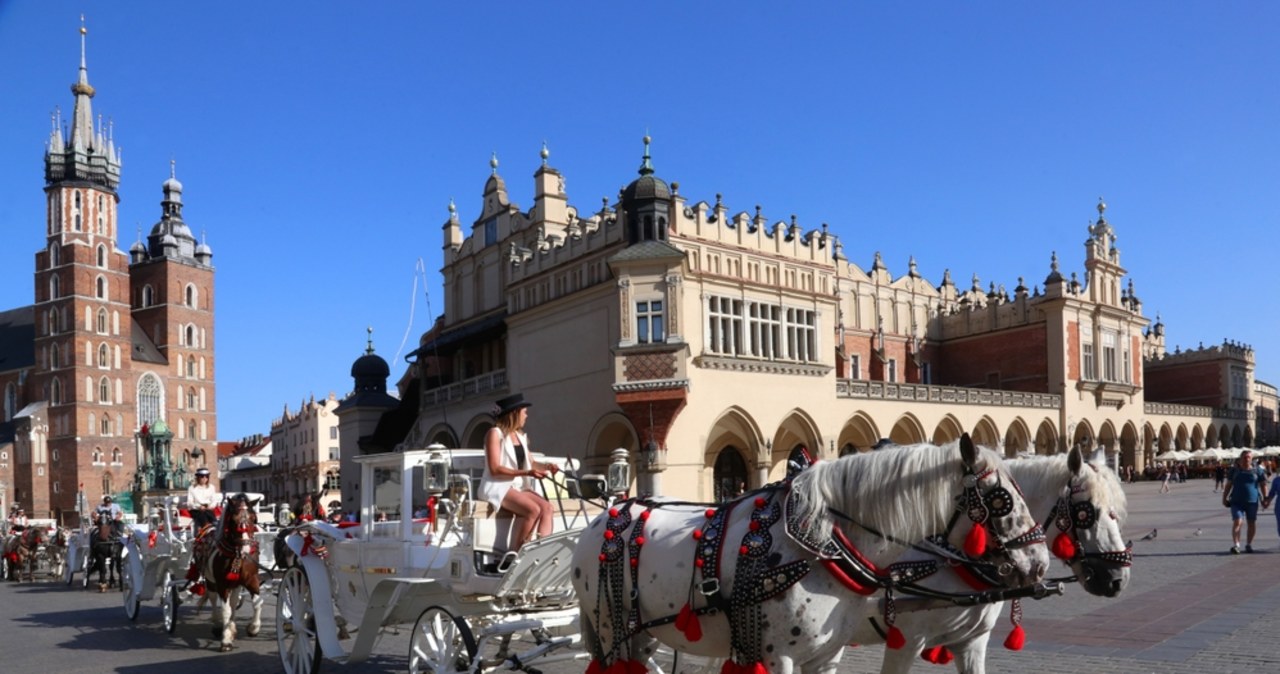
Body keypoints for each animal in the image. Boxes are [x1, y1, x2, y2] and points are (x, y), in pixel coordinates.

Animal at [195, 493, 261, 652]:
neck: (237, 555)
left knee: (233, 602)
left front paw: (253, 628)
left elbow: (257, 603)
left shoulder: (251, 580)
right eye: (233, 520)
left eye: (253, 518)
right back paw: (218, 626)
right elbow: (225, 610)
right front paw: (225, 640)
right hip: (211, 582)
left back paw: (232, 627)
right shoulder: (222, 585)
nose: (246, 549)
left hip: (236, 584)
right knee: (213, 599)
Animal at [573, 432, 1049, 674]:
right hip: (610, 630)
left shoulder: (826, 655)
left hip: (641, 633)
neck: (824, 545)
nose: (1039, 562)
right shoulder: (779, 657)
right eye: (1002, 499)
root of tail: (605, 515)